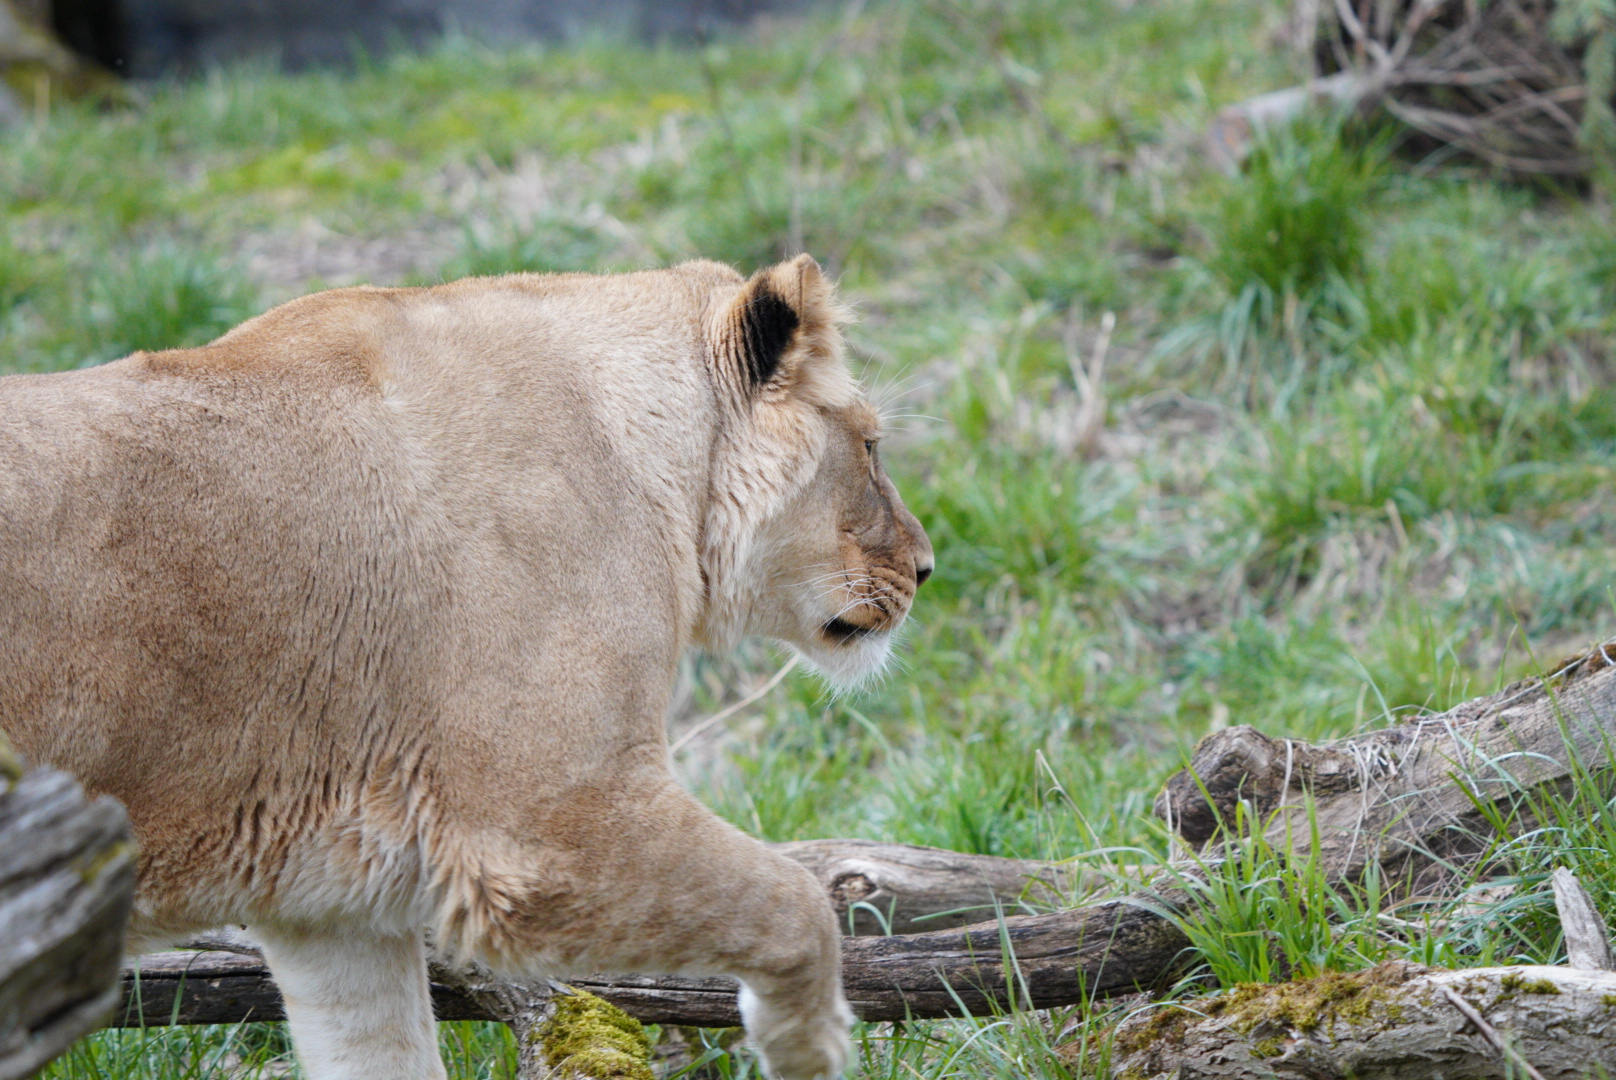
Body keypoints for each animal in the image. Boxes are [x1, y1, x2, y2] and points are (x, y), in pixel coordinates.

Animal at [0, 254, 931, 1080]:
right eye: (872, 447)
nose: (925, 569)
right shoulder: (543, 827)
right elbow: (794, 901)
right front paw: (810, 1048)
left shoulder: (328, 905)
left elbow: (381, 1052)